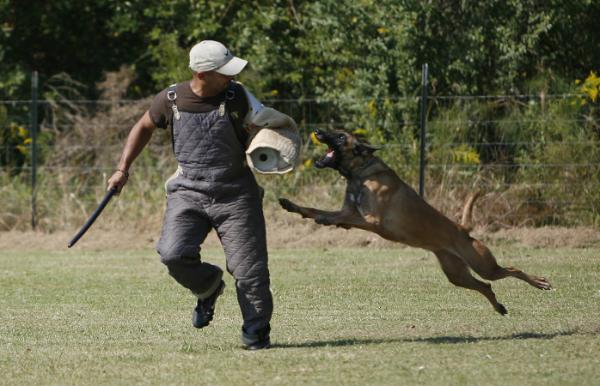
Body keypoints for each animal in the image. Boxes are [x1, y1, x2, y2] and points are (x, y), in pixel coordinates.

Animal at [278, 128, 552, 316]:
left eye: (341, 136)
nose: (317, 131)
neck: (361, 172)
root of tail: (462, 229)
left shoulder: (371, 220)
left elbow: (338, 216)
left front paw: (322, 219)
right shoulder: (349, 211)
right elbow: (314, 209)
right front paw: (292, 206)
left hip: (482, 264)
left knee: (511, 270)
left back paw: (539, 282)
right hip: (456, 274)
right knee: (486, 286)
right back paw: (499, 307)